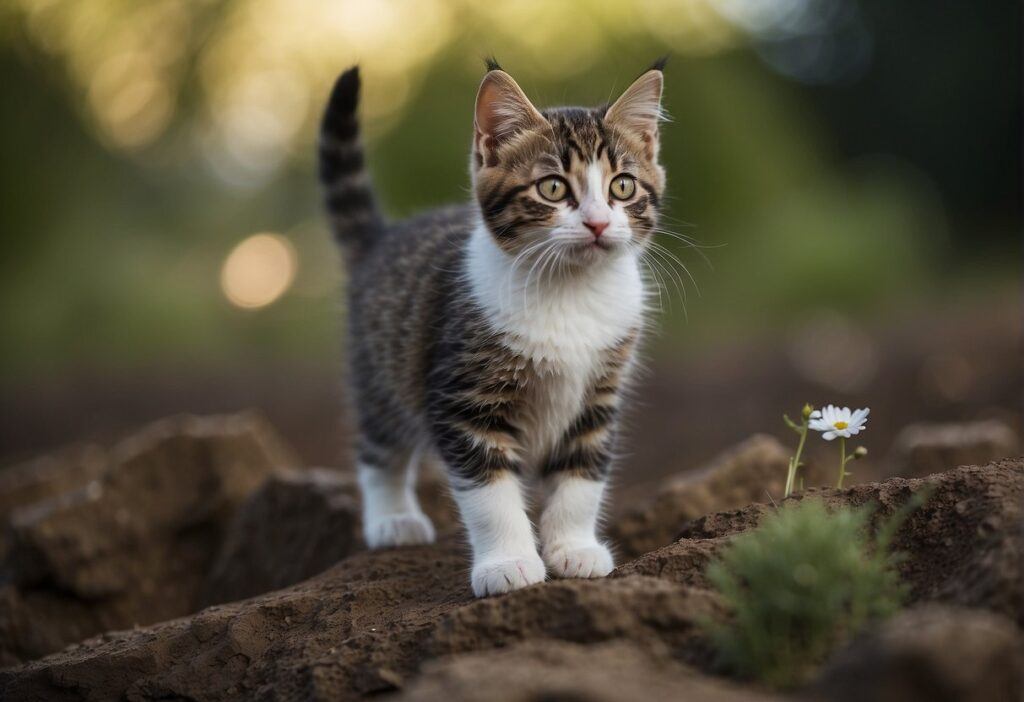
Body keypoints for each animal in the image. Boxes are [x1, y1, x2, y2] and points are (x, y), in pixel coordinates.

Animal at [323, 61, 667, 597]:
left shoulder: (600, 395)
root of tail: (383, 238)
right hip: (381, 366)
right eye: (553, 188)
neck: (569, 292)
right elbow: (490, 493)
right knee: (378, 443)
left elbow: (582, 477)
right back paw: (392, 519)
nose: (596, 223)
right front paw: (508, 564)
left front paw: (574, 548)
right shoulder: (464, 397)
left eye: (623, 186)